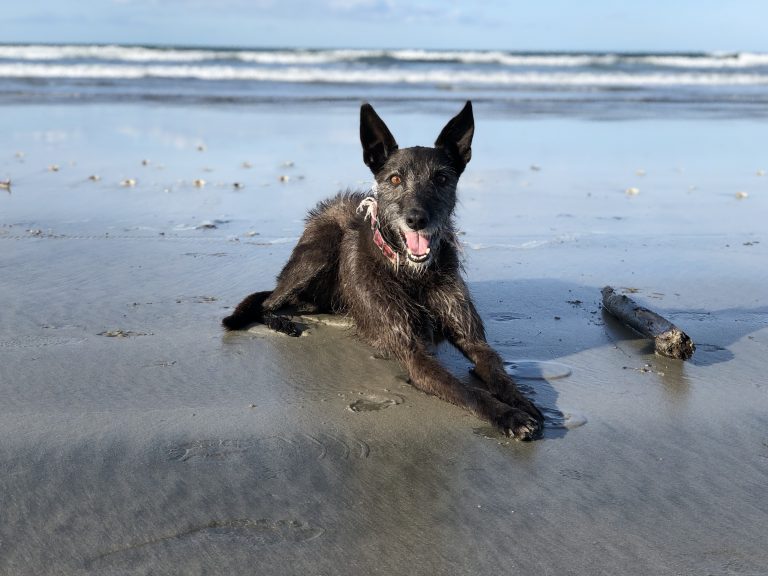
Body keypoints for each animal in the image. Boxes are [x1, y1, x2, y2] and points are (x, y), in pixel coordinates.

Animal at [222, 101, 544, 438]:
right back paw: (280, 322)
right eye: (395, 180)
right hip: (320, 249)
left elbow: (497, 372)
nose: (416, 219)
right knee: (267, 301)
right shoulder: (413, 354)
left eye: (442, 179)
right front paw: (509, 416)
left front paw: (523, 401)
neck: (411, 274)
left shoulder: (473, 340)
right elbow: (468, 391)